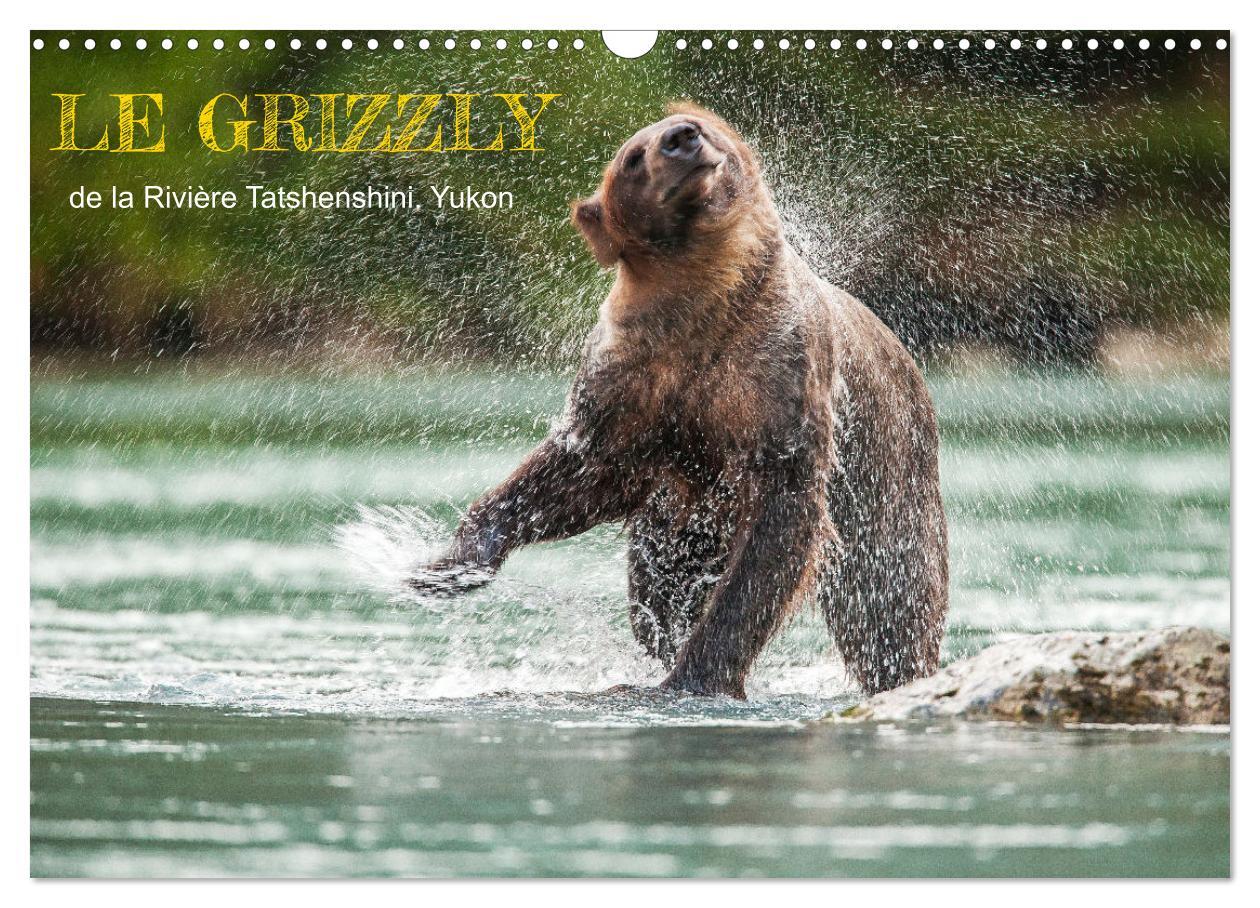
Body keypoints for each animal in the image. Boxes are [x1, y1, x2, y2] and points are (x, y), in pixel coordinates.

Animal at [410, 104, 949, 698]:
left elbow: (773, 541)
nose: (681, 137)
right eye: (632, 156)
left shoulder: (778, 382)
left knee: (887, 605)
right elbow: (575, 472)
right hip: (676, 524)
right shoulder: (633, 385)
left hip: (885, 483)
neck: (700, 304)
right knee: (658, 589)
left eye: (703, 127)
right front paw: (447, 566)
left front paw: (697, 673)